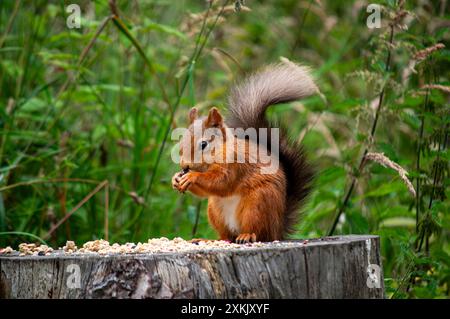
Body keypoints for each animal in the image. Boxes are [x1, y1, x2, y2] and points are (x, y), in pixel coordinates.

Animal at [172, 61, 316, 244]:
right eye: (181, 142)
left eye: (203, 144)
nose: (185, 166)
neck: (222, 150)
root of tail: (278, 230)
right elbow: (206, 191)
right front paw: (176, 179)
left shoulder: (236, 164)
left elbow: (221, 182)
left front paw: (192, 177)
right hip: (215, 210)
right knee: (226, 237)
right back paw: (209, 240)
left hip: (258, 204)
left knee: (258, 232)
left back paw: (247, 235)